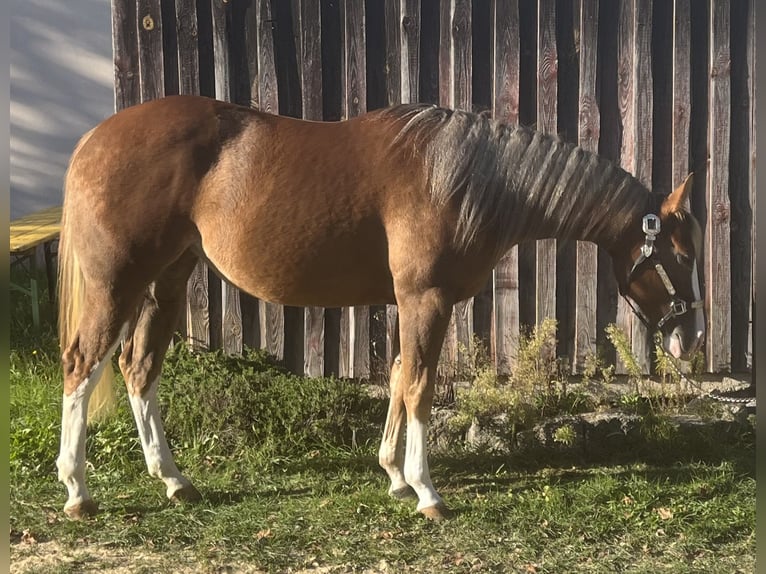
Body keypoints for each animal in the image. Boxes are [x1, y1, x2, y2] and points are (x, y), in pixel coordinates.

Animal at [56, 95, 705, 521]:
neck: (465, 181)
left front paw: (393, 475)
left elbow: (397, 376)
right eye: (679, 254)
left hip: (166, 280)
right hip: (116, 284)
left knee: (139, 369)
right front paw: (426, 491)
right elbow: (419, 386)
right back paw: (78, 490)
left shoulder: (410, 304)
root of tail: (93, 140)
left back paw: (174, 480)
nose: (691, 337)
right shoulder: (427, 299)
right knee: (82, 365)